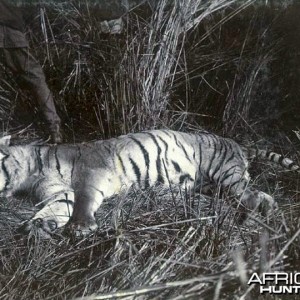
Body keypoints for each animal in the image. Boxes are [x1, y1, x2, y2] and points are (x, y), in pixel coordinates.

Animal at [0, 129, 298, 237]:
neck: (29, 170)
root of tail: (239, 143)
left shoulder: (91, 171)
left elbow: (84, 198)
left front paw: (81, 226)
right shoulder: (58, 192)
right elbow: (59, 206)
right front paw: (40, 225)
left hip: (226, 174)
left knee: (254, 194)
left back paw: (255, 216)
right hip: (211, 186)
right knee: (257, 194)